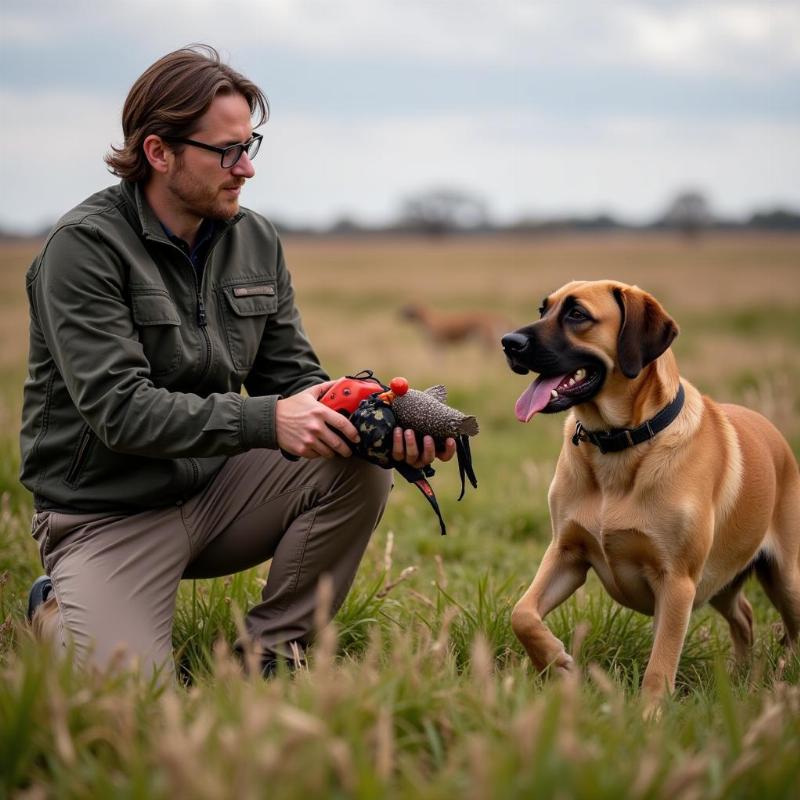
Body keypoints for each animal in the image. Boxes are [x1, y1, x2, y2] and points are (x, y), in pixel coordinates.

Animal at [504, 282, 796, 712]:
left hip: (785, 579)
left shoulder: (677, 581)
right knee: (743, 615)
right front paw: (558, 662)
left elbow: (661, 662)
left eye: (577, 315)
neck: (618, 443)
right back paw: (742, 675)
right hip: (721, 580)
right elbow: (521, 613)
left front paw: (649, 716)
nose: (508, 342)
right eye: (544, 309)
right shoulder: (566, 553)